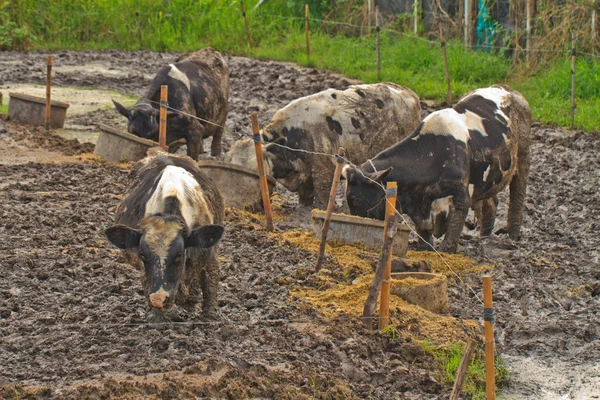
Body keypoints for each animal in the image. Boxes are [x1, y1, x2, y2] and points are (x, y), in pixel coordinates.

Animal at [103, 150, 225, 318]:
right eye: (142, 254)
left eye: (179, 254)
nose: (158, 299)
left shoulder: (207, 250)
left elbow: (210, 279)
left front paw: (209, 316)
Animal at [342, 85, 528, 253]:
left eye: (355, 199)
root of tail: (508, 89)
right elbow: (423, 233)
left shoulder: (461, 197)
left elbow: (452, 234)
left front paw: (446, 252)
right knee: (490, 202)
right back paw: (484, 237)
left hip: (523, 159)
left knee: (517, 197)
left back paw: (512, 238)